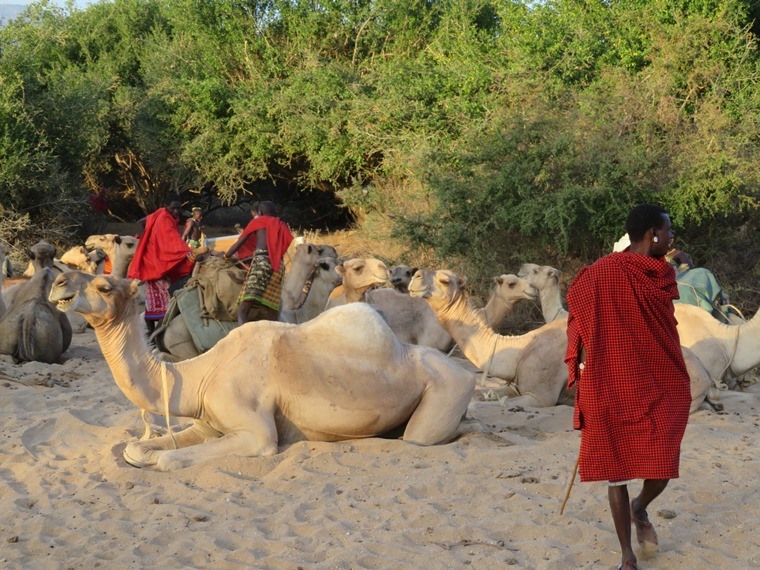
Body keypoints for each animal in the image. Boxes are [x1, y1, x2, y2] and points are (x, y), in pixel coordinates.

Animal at [49, 270, 476, 470]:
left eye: (104, 286)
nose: (57, 280)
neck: (202, 372)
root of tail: (464, 372)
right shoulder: (209, 423)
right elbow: (138, 448)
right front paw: (145, 452)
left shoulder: (256, 432)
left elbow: (168, 459)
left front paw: (162, 459)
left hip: (446, 389)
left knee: (423, 436)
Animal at [410, 268, 712, 410]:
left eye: (445, 280)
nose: (413, 277)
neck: (518, 349)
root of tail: (708, 377)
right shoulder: (515, 386)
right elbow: (482, 395)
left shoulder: (538, 396)